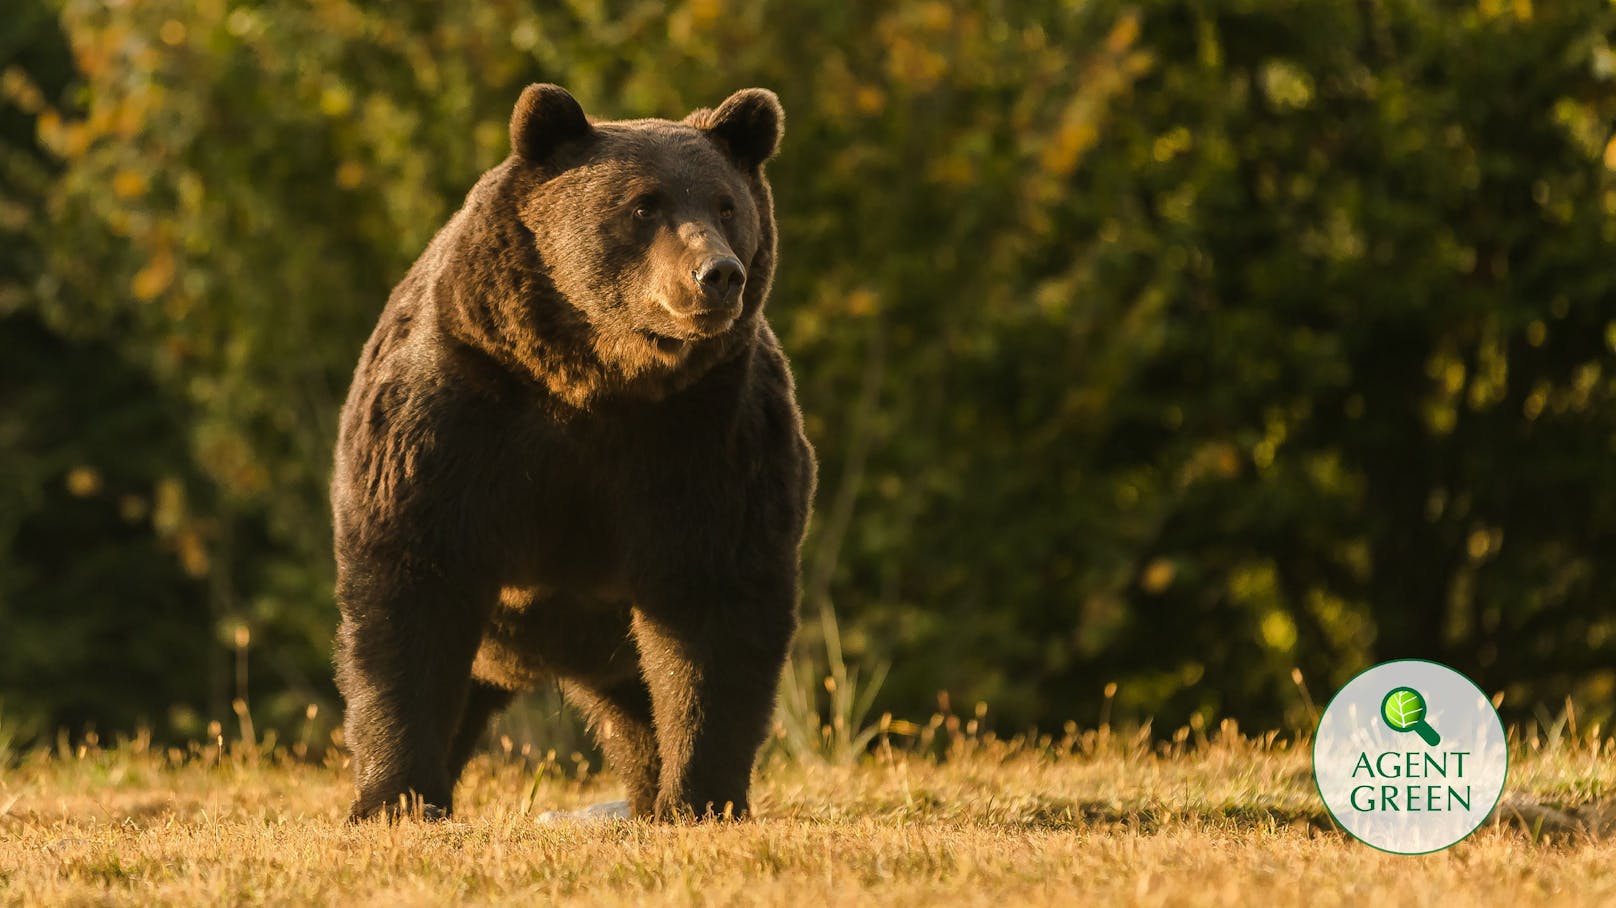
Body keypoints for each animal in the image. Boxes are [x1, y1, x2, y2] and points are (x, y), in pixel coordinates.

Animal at [328, 84, 814, 820]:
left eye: (727, 205)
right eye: (644, 204)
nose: (717, 275)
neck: (596, 378)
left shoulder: (708, 435)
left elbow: (714, 606)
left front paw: (700, 797)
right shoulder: (456, 412)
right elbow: (411, 587)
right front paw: (395, 797)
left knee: (639, 713)